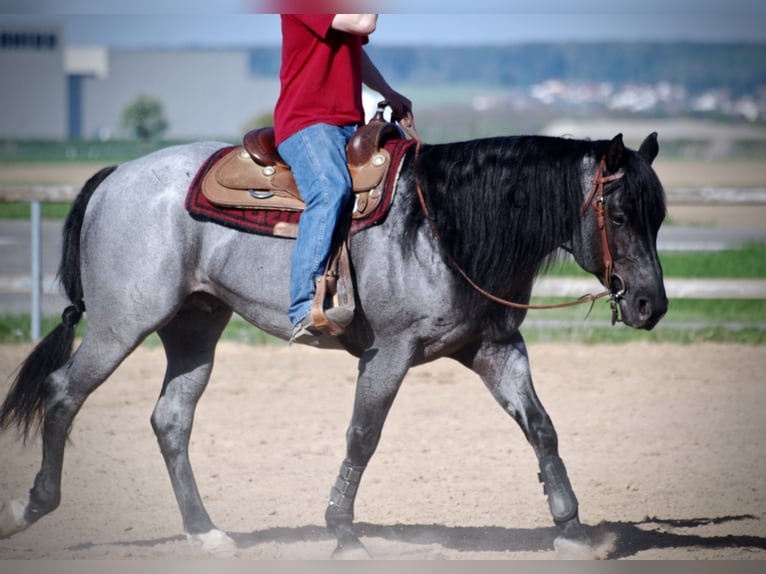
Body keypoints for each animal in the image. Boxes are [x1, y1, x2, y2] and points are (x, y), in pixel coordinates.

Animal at [0, 130, 667, 558]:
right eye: (619, 215)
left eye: (657, 217)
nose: (650, 305)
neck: (440, 225)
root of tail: (117, 176)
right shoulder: (390, 353)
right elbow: (363, 435)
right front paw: (343, 533)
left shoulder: (497, 349)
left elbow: (541, 427)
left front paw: (573, 530)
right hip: (121, 326)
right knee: (62, 395)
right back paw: (29, 508)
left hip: (195, 326)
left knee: (171, 420)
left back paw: (205, 532)